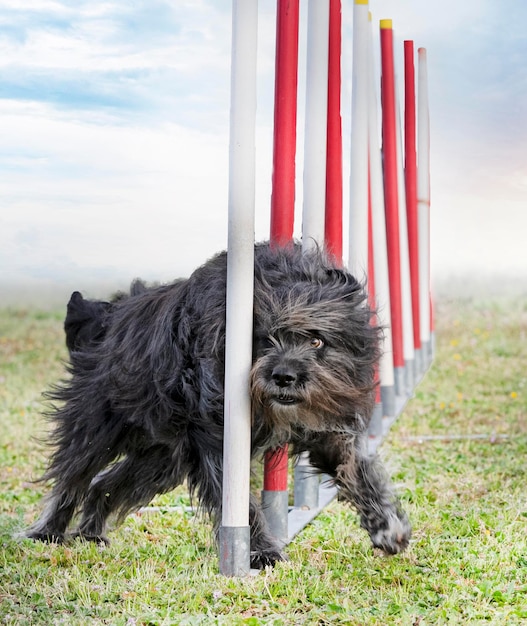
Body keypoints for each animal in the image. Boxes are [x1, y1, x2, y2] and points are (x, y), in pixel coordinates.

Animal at [24, 243, 412, 564]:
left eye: (317, 341)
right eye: (264, 339)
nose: (283, 376)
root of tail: (105, 317)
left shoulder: (325, 427)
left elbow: (356, 470)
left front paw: (386, 525)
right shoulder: (215, 437)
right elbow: (239, 501)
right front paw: (262, 552)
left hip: (162, 458)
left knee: (103, 483)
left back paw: (90, 532)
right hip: (99, 426)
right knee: (73, 476)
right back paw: (48, 532)